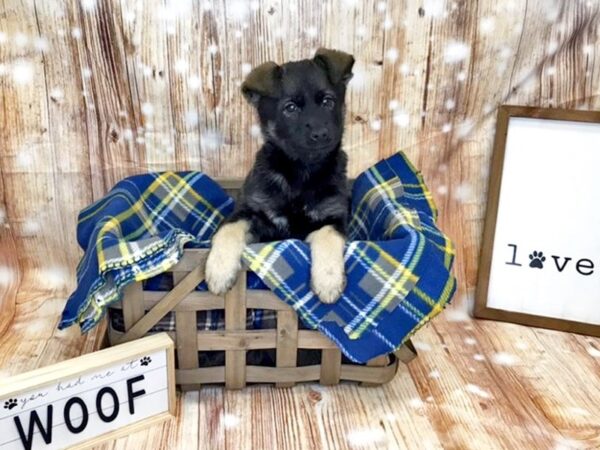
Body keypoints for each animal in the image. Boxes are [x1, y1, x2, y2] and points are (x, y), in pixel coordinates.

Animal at [206, 48, 354, 302]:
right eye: (290, 108)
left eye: (328, 102)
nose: (321, 134)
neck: (301, 172)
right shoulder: (251, 212)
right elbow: (228, 229)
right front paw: (219, 270)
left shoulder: (332, 218)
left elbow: (328, 237)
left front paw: (328, 280)